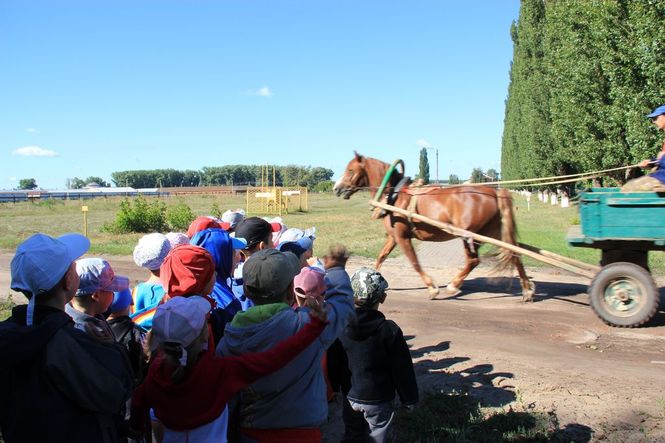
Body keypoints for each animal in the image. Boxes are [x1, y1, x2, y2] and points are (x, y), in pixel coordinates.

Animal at [332, 153, 536, 302]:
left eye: (350, 170)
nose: (336, 188)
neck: (395, 196)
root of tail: (495, 192)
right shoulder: (393, 236)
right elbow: (381, 257)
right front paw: (372, 278)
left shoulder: (402, 237)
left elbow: (414, 262)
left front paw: (432, 288)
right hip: (494, 232)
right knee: (514, 254)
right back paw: (527, 290)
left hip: (470, 235)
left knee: (474, 261)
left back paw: (453, 286)